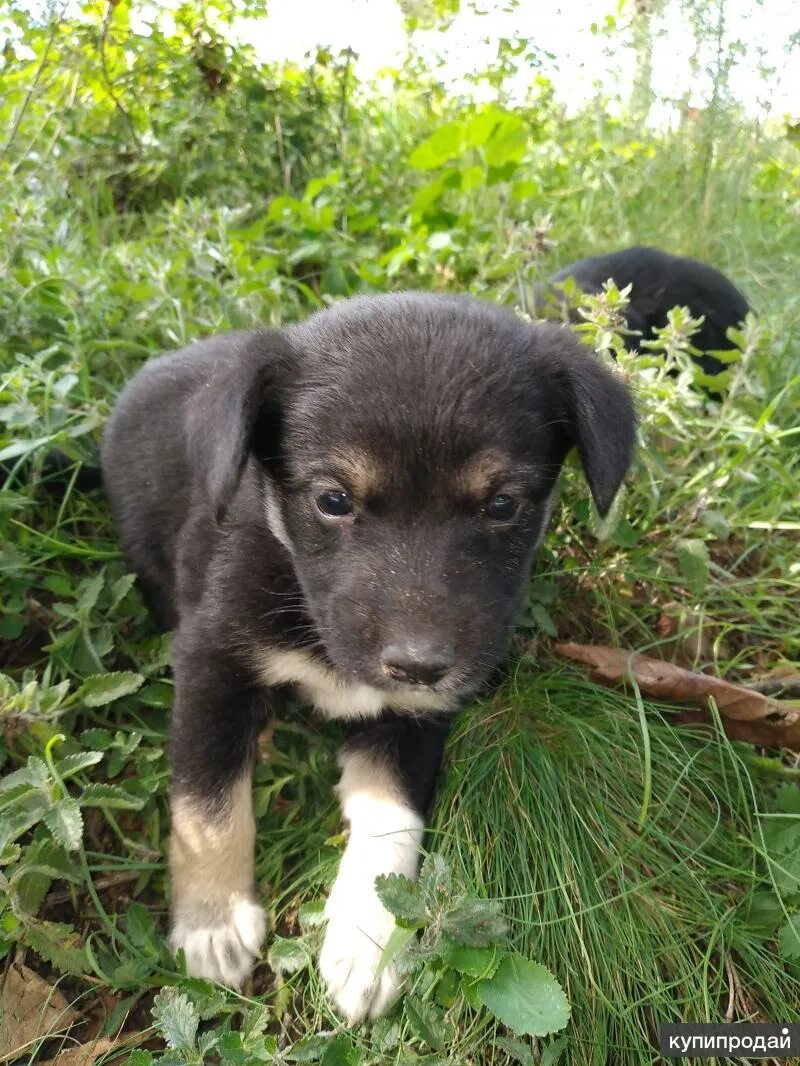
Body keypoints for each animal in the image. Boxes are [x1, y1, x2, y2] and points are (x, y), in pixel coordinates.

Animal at [101, 292, 640, 1023]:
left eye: (503, 505)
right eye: (333, 500)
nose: (419, 664)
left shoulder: (414, 715)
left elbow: (391, 819)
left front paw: (368, 941)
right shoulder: (212, 661)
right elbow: (208, 804)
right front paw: (213, 920)